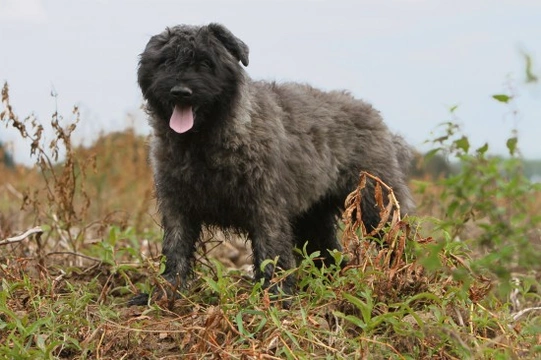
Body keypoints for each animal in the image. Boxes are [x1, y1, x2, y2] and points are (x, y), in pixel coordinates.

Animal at [130, 23, 414, 304]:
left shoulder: (266, 208)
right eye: (166, 61)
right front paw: (164, 292)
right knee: (328, 254)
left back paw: (406, 280)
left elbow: (271, 252)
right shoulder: (178, 207)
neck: (203, 143)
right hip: (313, 218)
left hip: (375, 206)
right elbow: (175, 250)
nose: (181, 92)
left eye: (206, 62)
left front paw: (275, 297)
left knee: (399, 241)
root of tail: (375, 116)